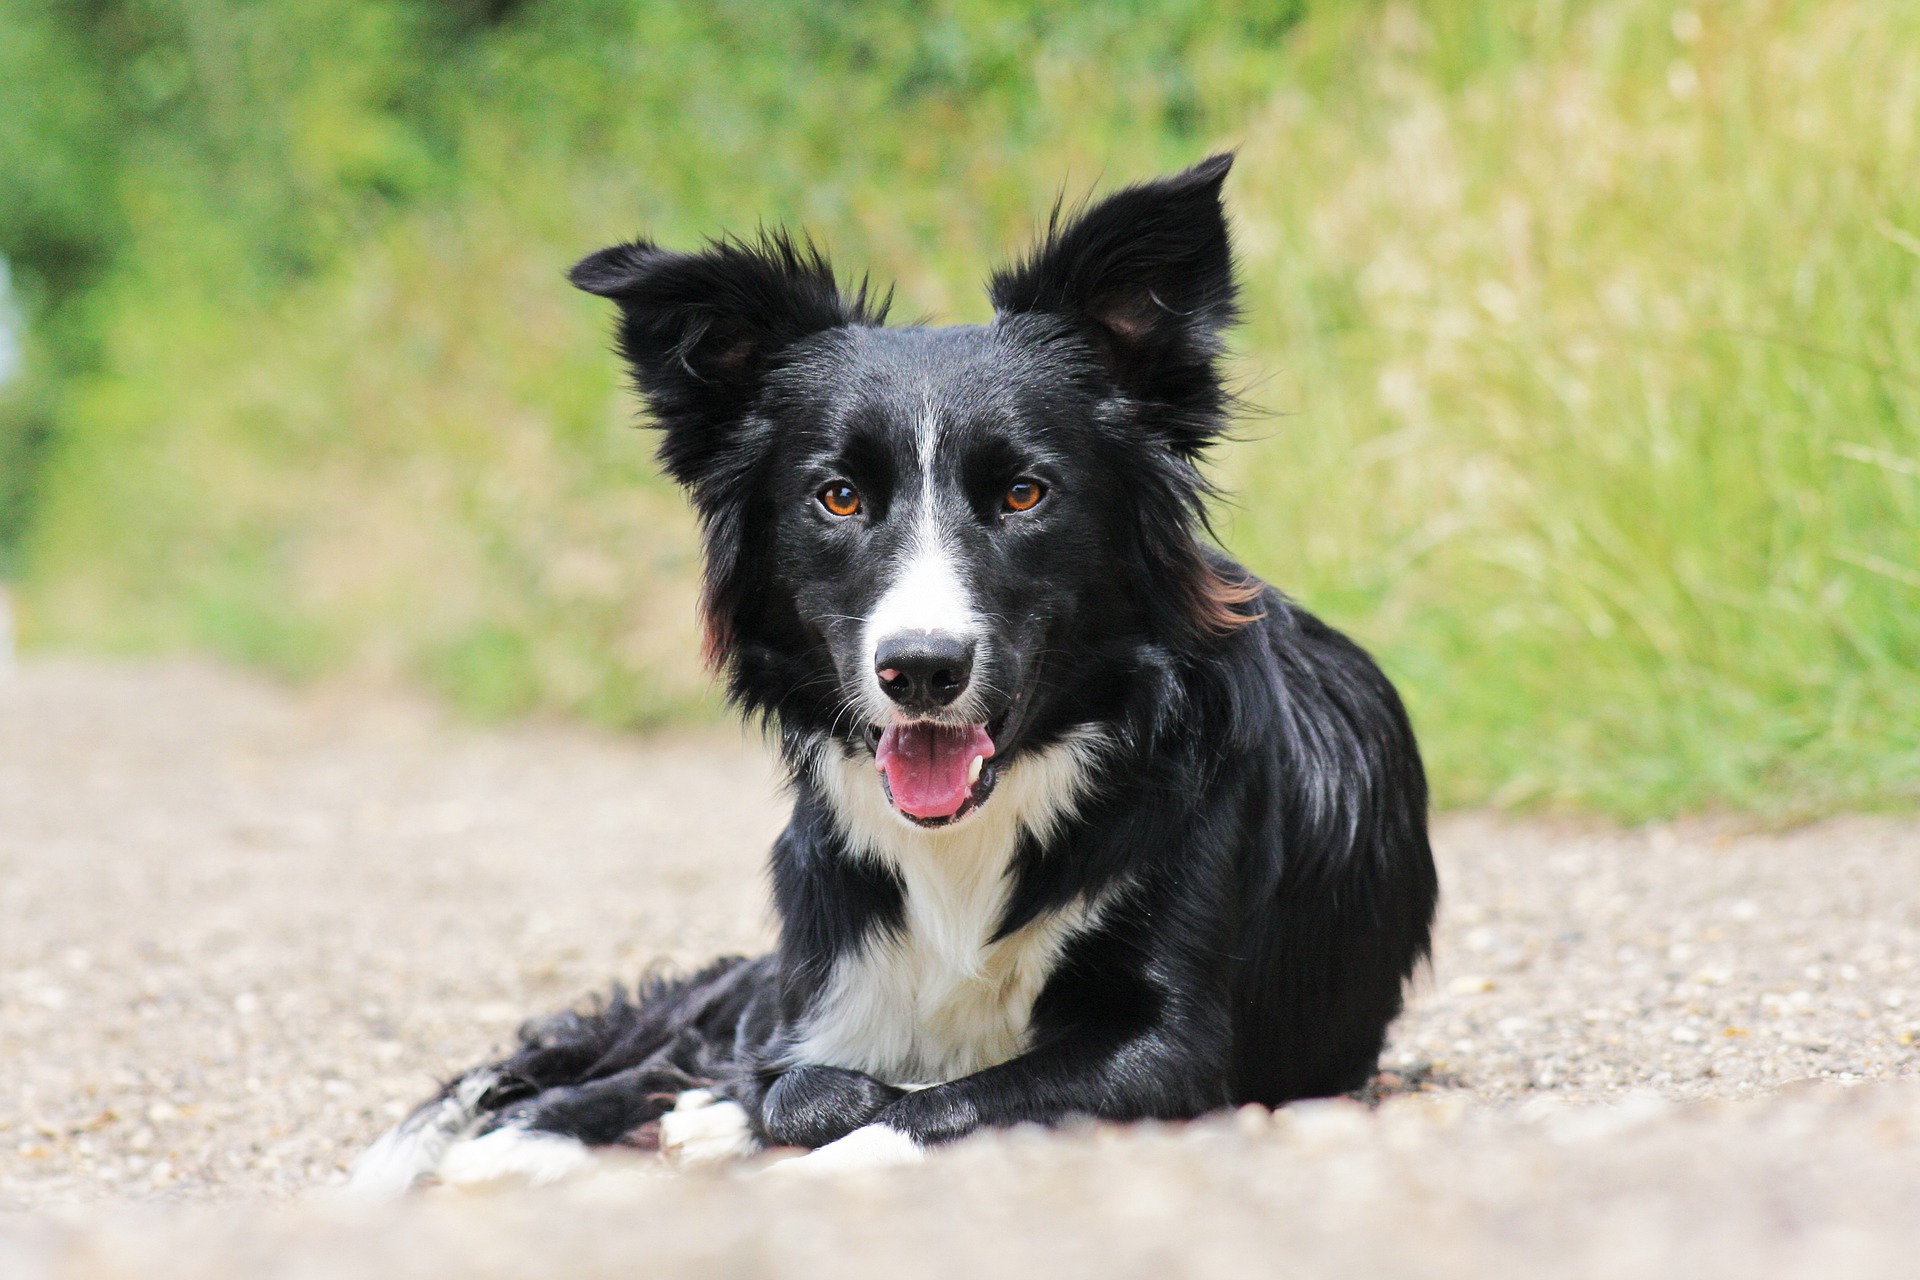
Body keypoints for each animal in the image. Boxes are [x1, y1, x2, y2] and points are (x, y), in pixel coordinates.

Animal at [353, 152, 1436, 1189]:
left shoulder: (1173, 1047)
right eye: (838, 497)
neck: (972, 835)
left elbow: (939, 1097)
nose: (920, 669)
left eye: (1024, 493)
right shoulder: (827, 982)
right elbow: (788, 1076)